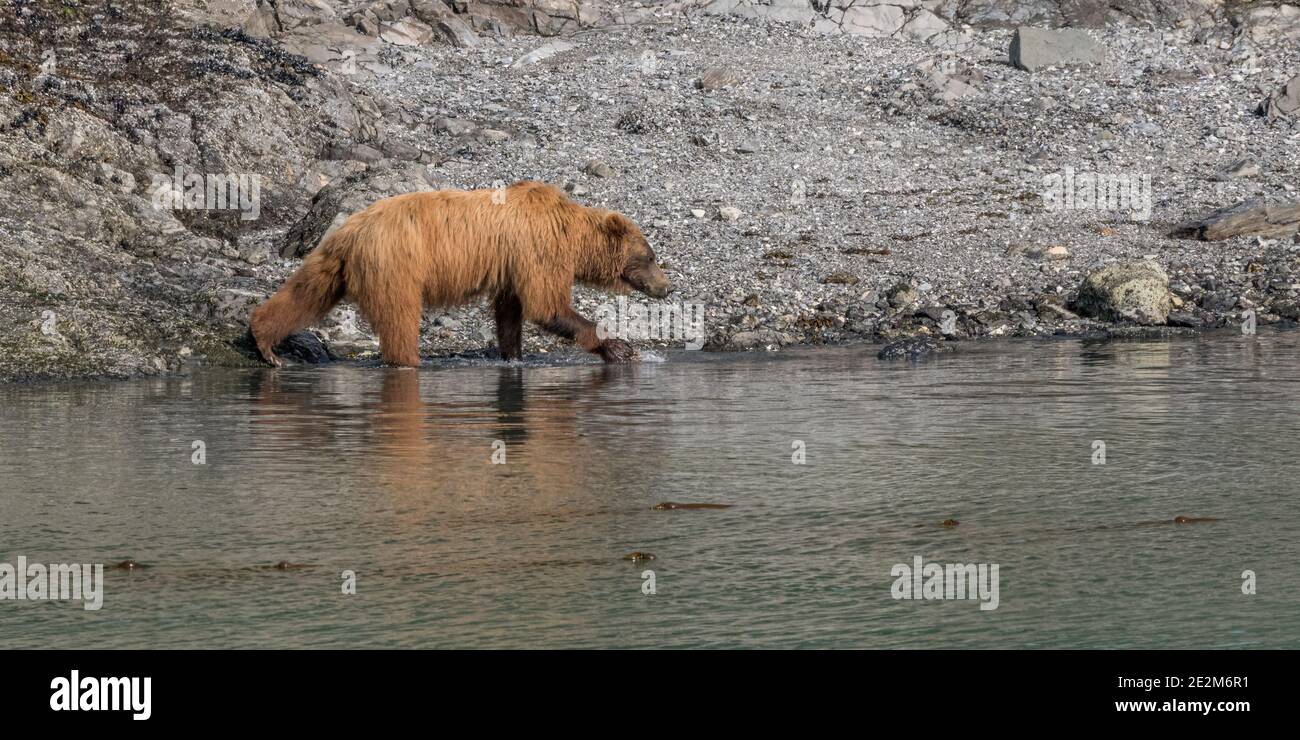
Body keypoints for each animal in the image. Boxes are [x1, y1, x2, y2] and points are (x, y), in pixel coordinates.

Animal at [246, 180, 670, 364]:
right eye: (650, 256)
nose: (666, 287)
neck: (569, 233)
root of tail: (351, 229)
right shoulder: (538, 251)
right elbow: (547, 306)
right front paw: (618, 346)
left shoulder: (511, 264)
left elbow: (510, 313)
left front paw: (512, 355)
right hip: (396, 266)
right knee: (400, 320)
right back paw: (409, 362)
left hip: (333, 262)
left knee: (304, 293)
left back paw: (265, 342)